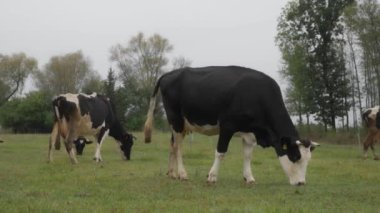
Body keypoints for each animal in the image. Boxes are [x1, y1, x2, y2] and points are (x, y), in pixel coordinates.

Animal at [144, 66, 320, 185]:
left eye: (308, 160)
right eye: (295, 156)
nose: (301, 183)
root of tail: (168, 74)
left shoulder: (250, 132)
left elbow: (248, 155)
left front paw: (249, 177)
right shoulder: (227, 126)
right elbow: (220, 152)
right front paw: (212, 176)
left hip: (181, 124)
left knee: (172, 145)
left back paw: (171, 173)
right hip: (176, 120)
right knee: (178, 147)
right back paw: (182, 173)